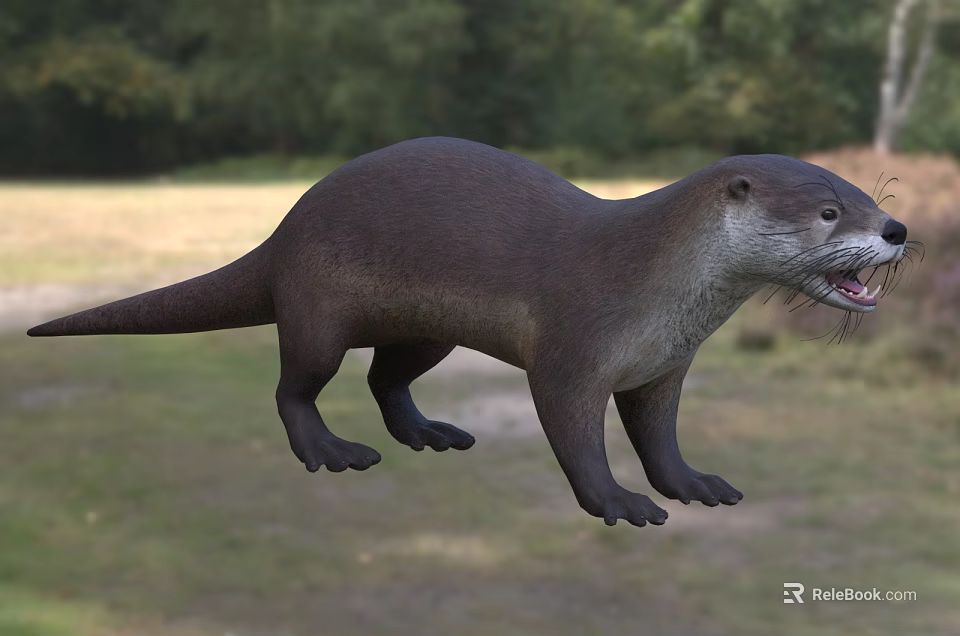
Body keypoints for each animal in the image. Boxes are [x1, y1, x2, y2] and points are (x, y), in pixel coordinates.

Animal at [28, 137, 910, 527]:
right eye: (829, 210)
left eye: (869, 195)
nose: (898, 228)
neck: (655, 284)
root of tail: (286, 226)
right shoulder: (574, 349)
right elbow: (575, 435)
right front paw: (617, 501)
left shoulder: (665, 367)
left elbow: (660, 437)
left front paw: (690, 484)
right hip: (316, 306)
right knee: (295, 385)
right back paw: (332, 451)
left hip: (426, 330)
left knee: (386, 377)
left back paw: (429, 432)